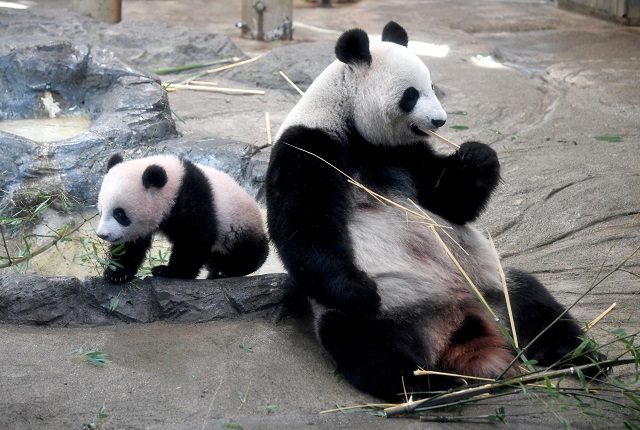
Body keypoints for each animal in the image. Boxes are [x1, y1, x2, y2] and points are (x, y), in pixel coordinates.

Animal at [96, 154, 268, 282]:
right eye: (101, 211)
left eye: (119, 214)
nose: (102, 235)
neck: (174, 184)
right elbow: (131, 245)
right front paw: (117, 273)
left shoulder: (192, 198)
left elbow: (194, 239)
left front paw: (169, 271)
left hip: (237, 222)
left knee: (246, 250)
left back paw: (228, 269)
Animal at [264, 22, 604, 400]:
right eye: (411, 94)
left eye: (432, 86)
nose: (440, 121)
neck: (352, 123)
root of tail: (460, 321)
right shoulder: (310, 146)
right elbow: (304, 225)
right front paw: (359, 290)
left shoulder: (406, 155)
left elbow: (449, 201)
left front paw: (477, 156)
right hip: (391, 311)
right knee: (368, 347)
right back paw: (431, 384)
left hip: (492, 287)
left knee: (535, 305)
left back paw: (586, 358)